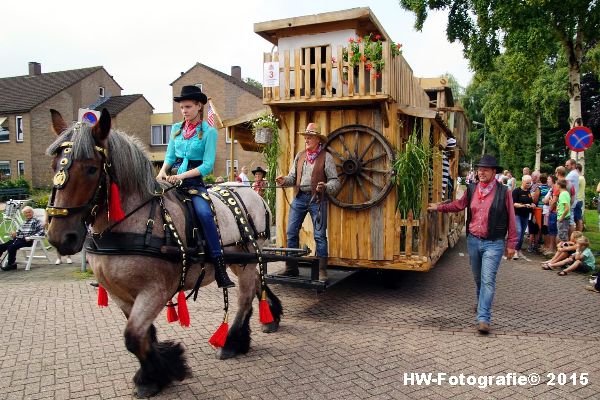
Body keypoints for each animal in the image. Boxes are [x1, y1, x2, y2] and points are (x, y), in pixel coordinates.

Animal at [45, 108, 284, 396]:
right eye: (55, 165)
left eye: (91, 169)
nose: (61, 236)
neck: (135, 222)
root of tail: (256, 197)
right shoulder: (120, 294)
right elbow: (143, 336)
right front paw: (160, 369)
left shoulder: (155, 290)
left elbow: (133, 337)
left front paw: (156, 375)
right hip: (240, 261)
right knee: (258, 284)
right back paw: (265, 320)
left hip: (247, 260)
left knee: (245, 297)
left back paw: (232, 341)